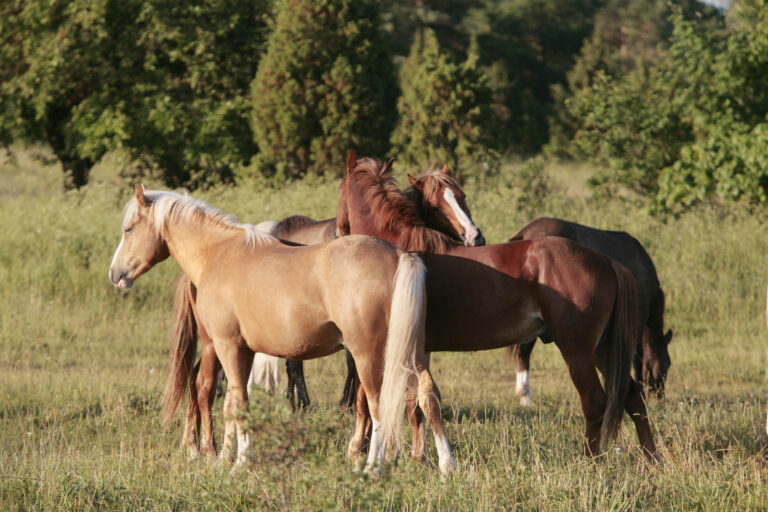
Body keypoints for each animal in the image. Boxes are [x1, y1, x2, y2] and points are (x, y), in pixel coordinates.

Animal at [109, 186, 456, 474]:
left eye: (128, 229)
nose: (115, 274)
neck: (218, 252)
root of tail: (400, 256)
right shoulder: (245, 350)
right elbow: (233, 403)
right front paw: (228, 457)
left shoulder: (227, 346)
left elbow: (238, 403)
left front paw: (240, 463)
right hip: (413, 352)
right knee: (428, 396)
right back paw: (445, 466)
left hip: (369, 356)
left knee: (378, 406)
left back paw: (372, 468)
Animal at [510, 218, 672, 406]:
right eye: (667, 365)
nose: (661, 396)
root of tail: (524, 233)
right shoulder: (636, 324)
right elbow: (637, 358)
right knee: (523, 351)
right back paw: (526, 397)